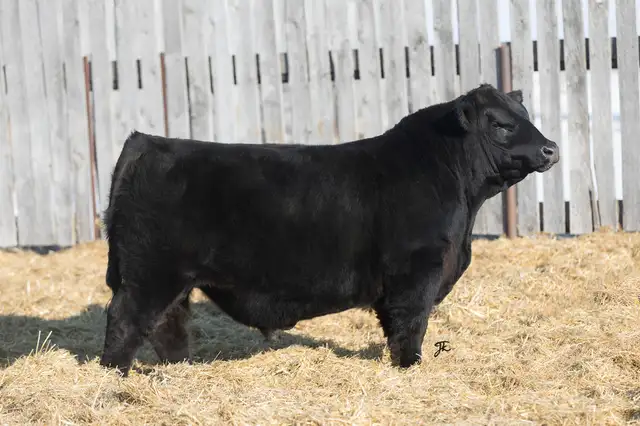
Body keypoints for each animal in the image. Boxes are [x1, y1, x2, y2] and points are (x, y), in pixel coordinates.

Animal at [99, 83, 559, 376]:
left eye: (525, 116)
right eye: (500, 124)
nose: (550, 148)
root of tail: (147, 141)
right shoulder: (416, 270)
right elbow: (410, 323)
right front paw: (410, 365)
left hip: (173, 278)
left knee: (167, 323)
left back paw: (180, 368)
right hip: (150, 273)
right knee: (125, 320)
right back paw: (113, 376)